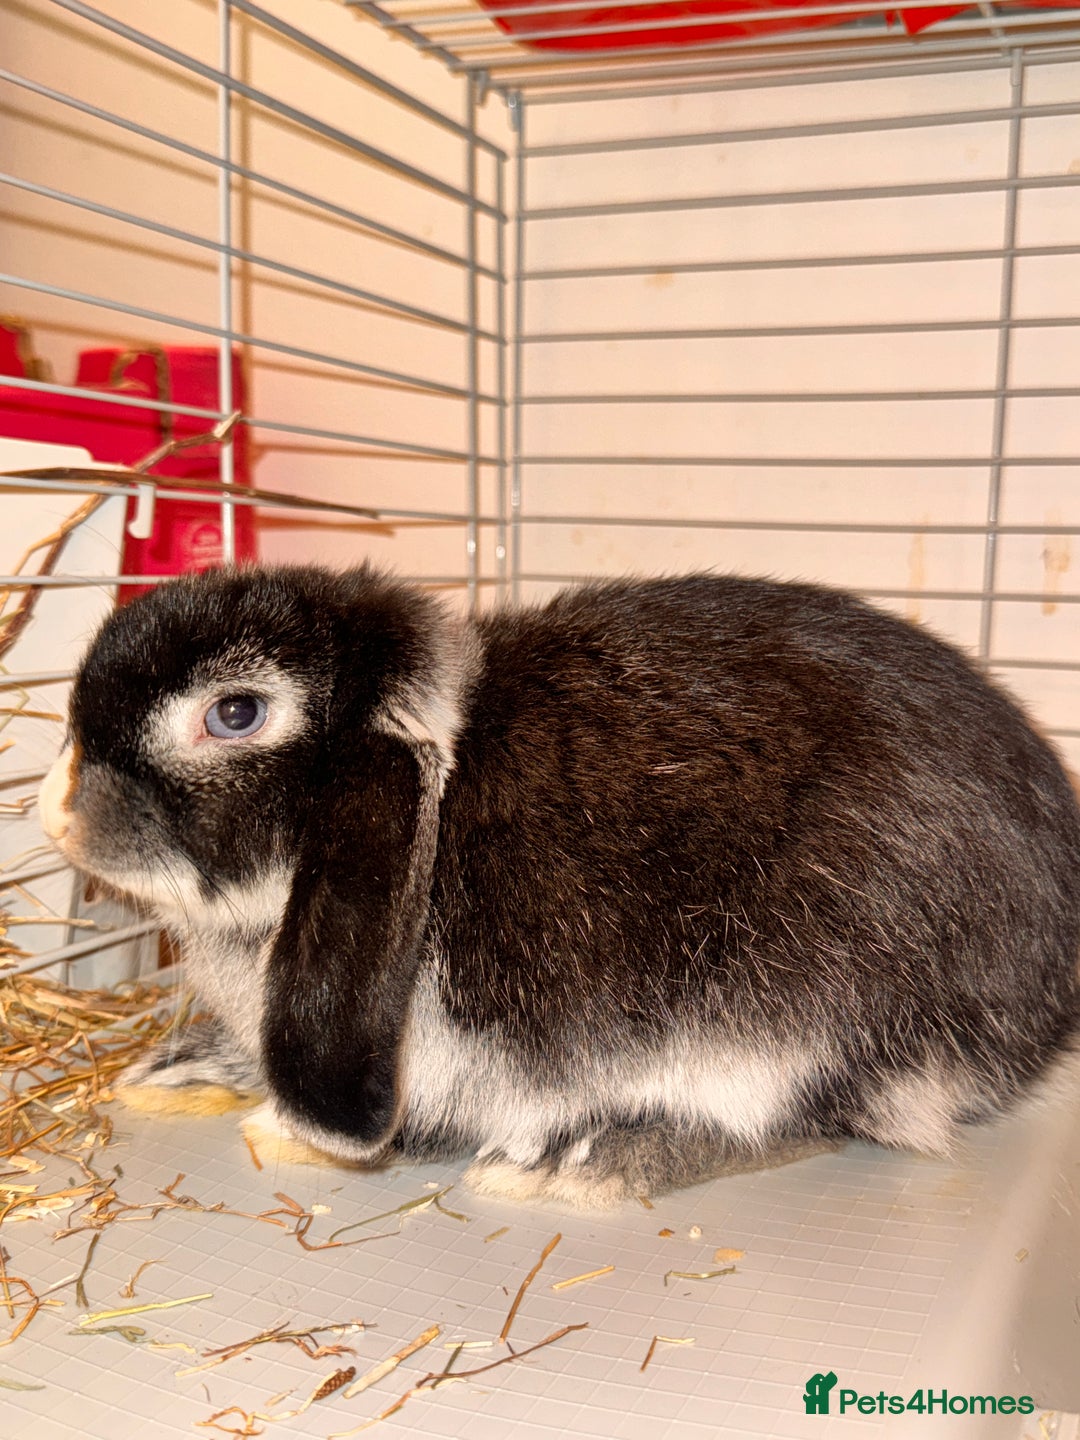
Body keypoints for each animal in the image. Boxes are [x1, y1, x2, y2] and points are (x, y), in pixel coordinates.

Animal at [38, 564, 1080, 1209]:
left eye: (236, 713)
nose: (56, 813)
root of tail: (1045, 1010)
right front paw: (187, 1069)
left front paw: (288, 1133)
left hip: (800, 1003)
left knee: (808, 1120)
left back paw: (579, 1163)